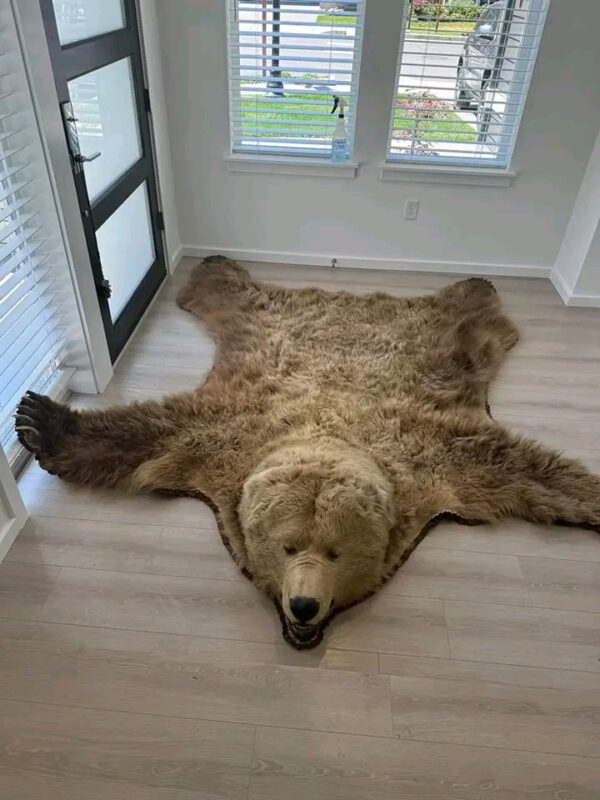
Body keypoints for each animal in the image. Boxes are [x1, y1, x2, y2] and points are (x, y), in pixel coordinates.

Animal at [16, 257, 600, 649]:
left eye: (338, 552)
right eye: (287, 546)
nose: (303, 605)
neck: (326, 430)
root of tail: (351, 298)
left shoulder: (447, 452)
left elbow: (535, 467)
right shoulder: (222, 429)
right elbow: (144, 428)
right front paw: (36, 420)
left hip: (449, 340)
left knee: (469, 312)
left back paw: (475, 282)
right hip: (258, 322)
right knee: (232, 292)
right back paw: (214, 263)